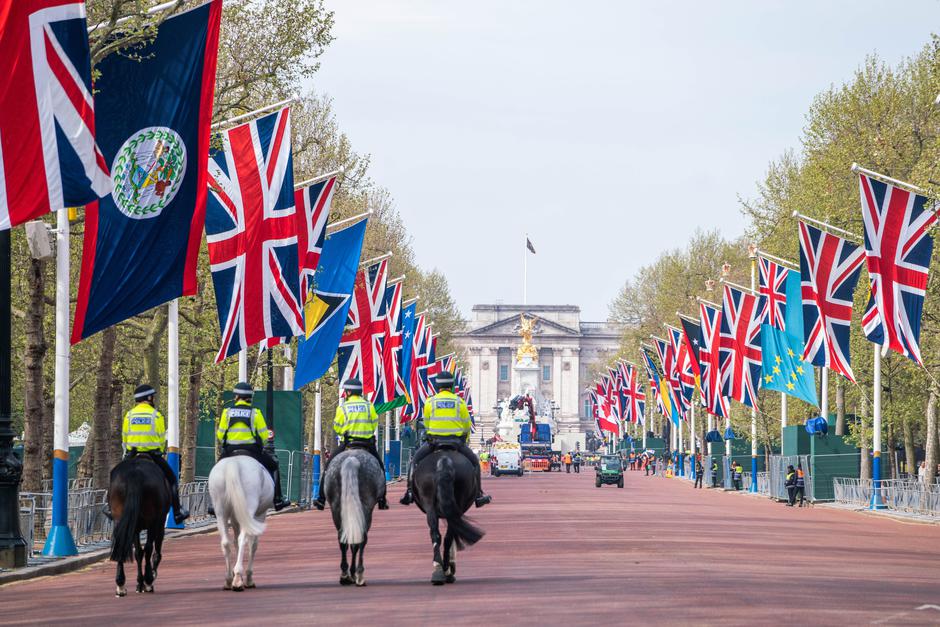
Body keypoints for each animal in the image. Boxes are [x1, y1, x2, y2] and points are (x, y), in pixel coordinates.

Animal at [109, 454, 173, 596]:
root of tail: (135, 473)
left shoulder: (134, 528)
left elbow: (138, 552)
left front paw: (139, 583)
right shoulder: (159, 523)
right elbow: (153, 550)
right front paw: (147, 579)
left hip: (120, 520)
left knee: (121, 544)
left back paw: (121, 585)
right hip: (153, 522)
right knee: (149, 548)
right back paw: (148, 581)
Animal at [208, 456, 272, 592]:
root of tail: (233, 462)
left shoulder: (235, 518)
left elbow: (235, 543)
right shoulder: (259, 516)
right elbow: (253, 545)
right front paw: (248, 579)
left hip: (221, 512)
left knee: (226, 542)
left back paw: (229, 579)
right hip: (250, 510)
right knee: (243, 540)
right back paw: (237, 579)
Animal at [322, 446, 384, 588]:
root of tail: (351, 459)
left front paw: (350, 573)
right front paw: (354, 573)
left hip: (336, 507)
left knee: (342, 538)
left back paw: (344, 575)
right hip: (365, 507)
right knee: (361, 538)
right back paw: (359, 575)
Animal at [412, 444, 484, 588]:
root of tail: (444, 460)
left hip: (431, 504)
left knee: (437, 534)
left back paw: (440, 570)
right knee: (447, 535)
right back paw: (444, 570)